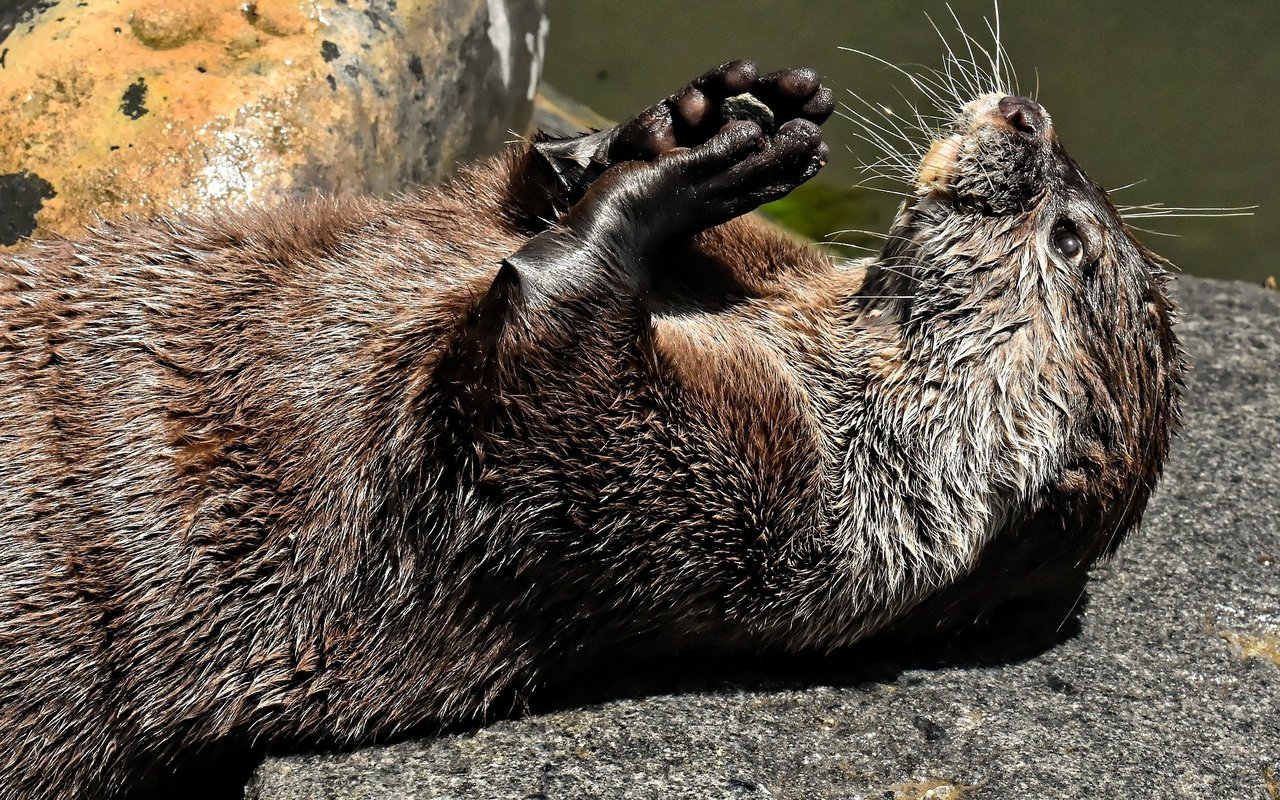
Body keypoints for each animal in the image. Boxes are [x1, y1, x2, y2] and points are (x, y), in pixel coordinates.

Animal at [0, 58, 1182, 799]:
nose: (1027, 114)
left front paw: (670, 181)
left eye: (1069, 240)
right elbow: (494, 203)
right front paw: (691, 116)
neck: (814, 371)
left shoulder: (728, 512)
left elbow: (518, 398)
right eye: (1075, 208)